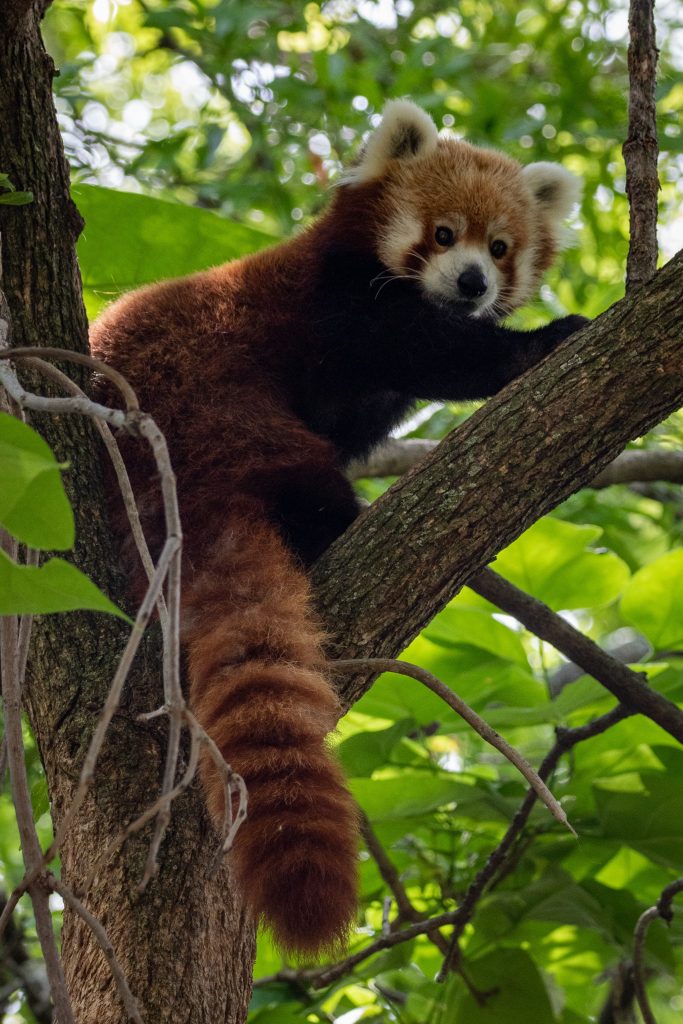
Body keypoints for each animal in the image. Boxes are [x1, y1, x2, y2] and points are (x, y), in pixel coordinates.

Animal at [90, 98, 588, 956]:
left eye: (500, 247)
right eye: (442, 234)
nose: (471, 282)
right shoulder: (340, 304)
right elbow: (429, 352)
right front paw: (539, 343)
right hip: (217, 401)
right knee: (298, 478)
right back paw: (328, 524)